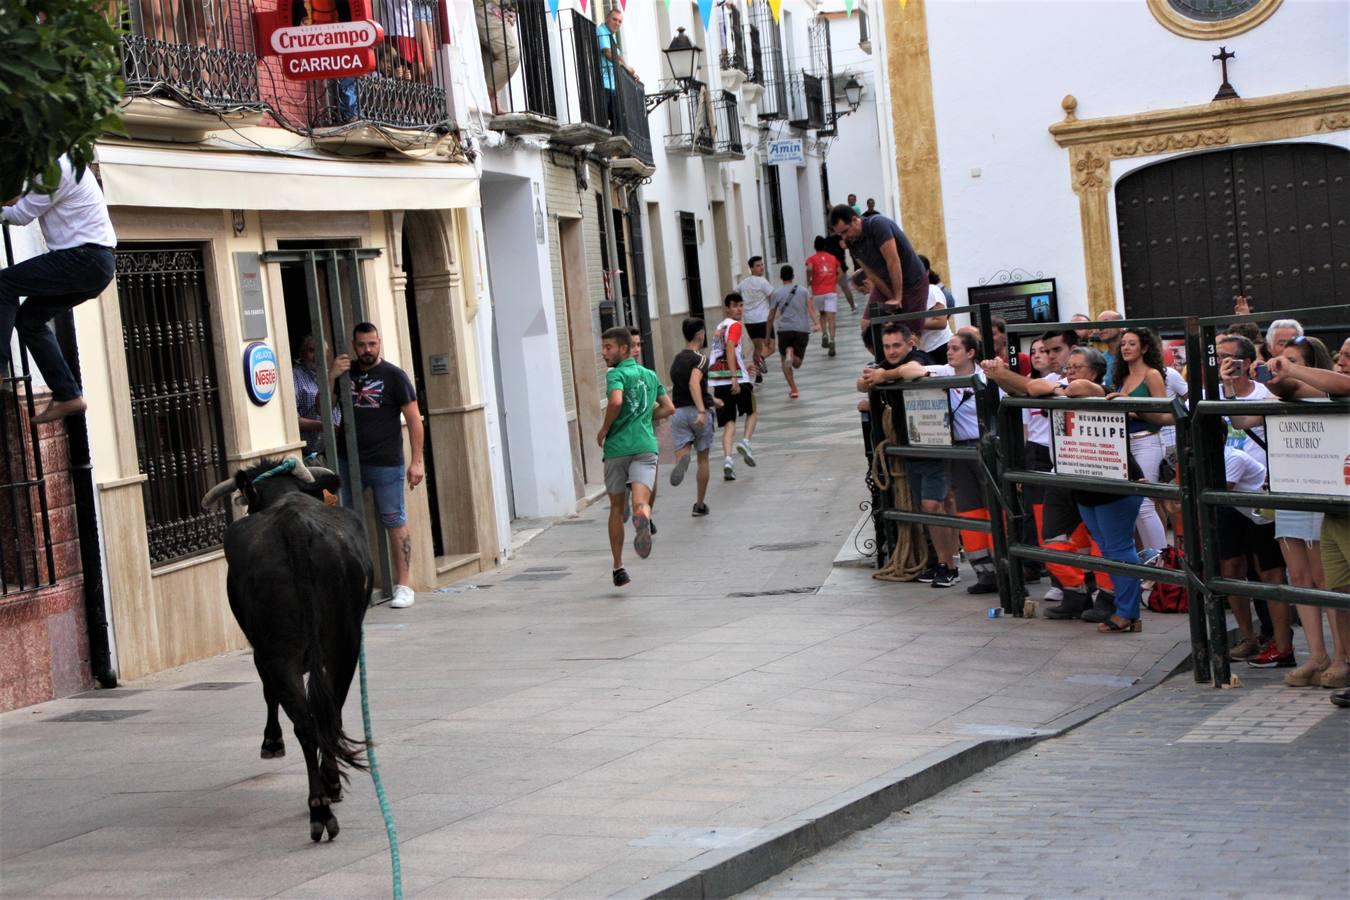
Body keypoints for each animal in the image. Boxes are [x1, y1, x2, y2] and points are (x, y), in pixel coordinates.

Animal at [199, 458, 372, 847]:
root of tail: (294, 526)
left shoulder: (261, 651)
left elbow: (269, 693)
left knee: (307, 720)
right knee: (326, 714)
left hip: (279, 651)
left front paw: (271, 741)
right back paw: (327, 795)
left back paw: (321, 806)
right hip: (345, 643)